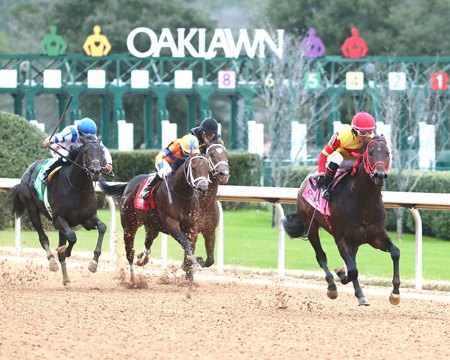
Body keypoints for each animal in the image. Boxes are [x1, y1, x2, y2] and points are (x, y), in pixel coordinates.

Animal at [9, 136, 108, 286]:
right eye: (85, 151)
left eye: (101, 152)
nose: (95, 171)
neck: (78, 188)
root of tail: (28, 171)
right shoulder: (58, 219)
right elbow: (72, 236)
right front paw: (66, 252)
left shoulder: (88, 219)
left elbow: (102, 227)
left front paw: (93, 263)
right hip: (32, 210)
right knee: (43, 237)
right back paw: (52, 261)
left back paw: (66, 279)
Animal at [97, 153, 210, 288]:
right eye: (193, 168)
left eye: (208, 168)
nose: (203, 188)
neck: (181, 195)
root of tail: (128, 184)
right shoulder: (171, 224)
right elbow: (185, 243)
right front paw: (196, 264)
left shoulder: (191, 227)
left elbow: (189, 247)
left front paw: (190, 278)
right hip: (129, 226)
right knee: (130, 252)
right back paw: (133, 280)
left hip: (152, 227)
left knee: (147, 243)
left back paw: (142, 259)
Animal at [284, 136, 400, 306]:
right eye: (370, 153)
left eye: (387, 153)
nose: (379, 175)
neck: (363, 202)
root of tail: (306, 179)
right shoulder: (341, 239)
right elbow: (352, 270)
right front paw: (340, 273)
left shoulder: (376, 236)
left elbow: (395, 252)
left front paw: (395, 294)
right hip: (311, 226)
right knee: (321, 256)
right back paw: (332, 286)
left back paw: (360, 295)